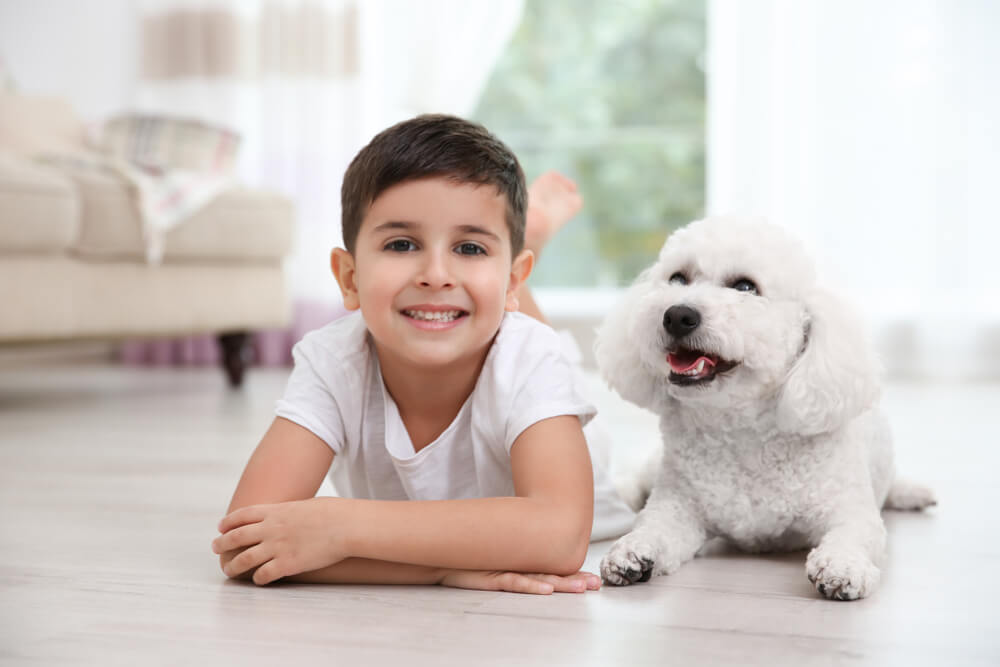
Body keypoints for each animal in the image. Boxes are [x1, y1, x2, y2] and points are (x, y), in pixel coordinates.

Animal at [600, 218, 936, 600]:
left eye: (746, 286)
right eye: (677, 278)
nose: (678, 315)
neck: (742, 430)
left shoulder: (848, 509)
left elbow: (854, 535)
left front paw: (842, 566)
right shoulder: (677, 506)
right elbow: (654, 525)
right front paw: (631, 550)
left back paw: (912, 493)